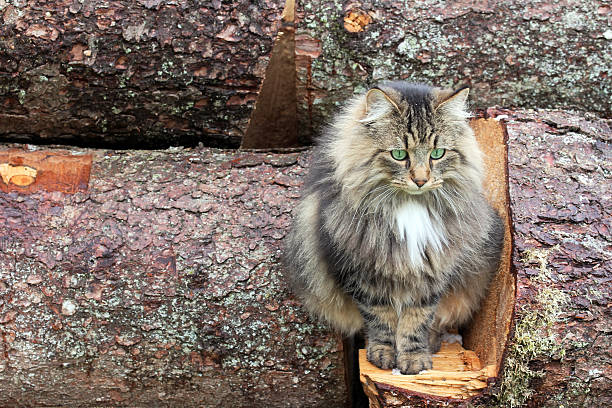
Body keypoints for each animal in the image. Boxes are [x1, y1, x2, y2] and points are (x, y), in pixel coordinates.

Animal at [284, 82, 504, 376]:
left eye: (437, 154)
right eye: (399, 154)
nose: (421, 180)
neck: (409, 206)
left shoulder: (432, 271)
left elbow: (417, 321)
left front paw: (414, 359)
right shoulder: (362, 274)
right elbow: (380, 320)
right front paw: (383, 354)